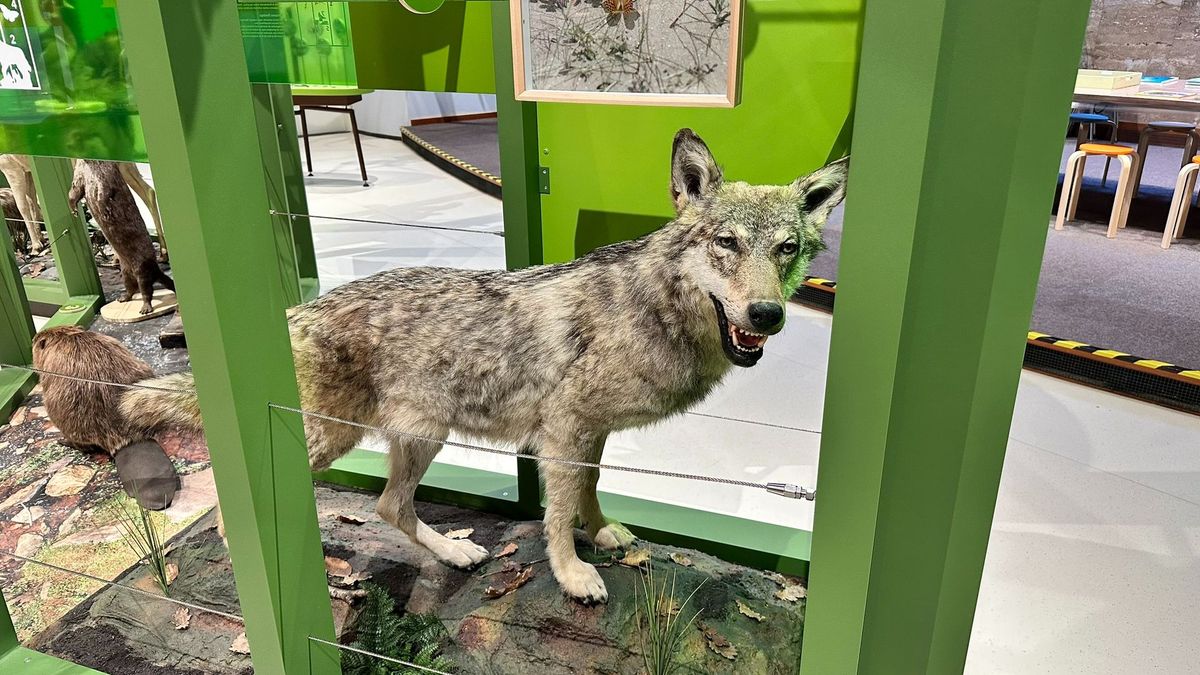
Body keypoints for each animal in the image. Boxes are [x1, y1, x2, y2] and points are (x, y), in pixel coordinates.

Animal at [120, 129, 848, 602]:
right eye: (727, 243)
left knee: (387, 505)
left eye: (786, 250)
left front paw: (603, 531)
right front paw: (574, 573)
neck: (649, 308)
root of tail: (300, 310)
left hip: (417, 437)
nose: (766, 314)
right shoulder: (563, 430)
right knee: (255, 496)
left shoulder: (590, 432)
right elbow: (556, 514)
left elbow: (590, 487)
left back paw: (457, 551)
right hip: (351, 439)